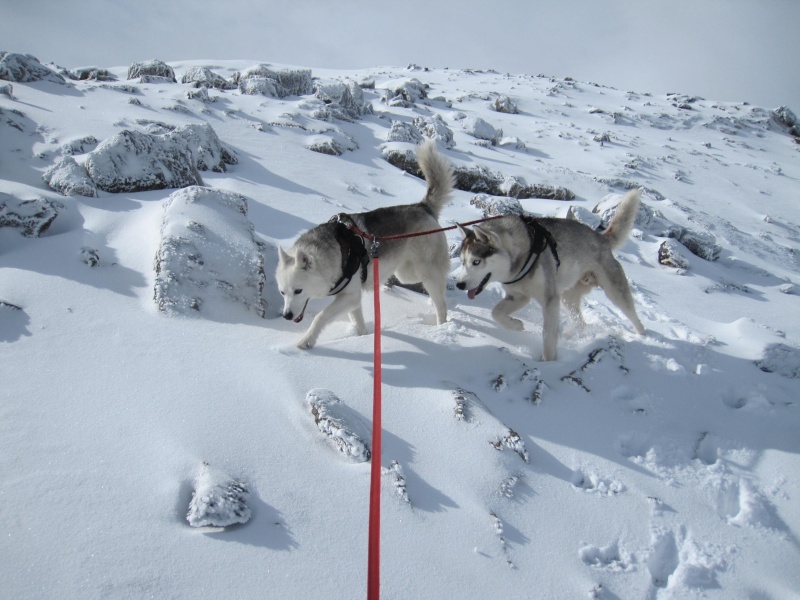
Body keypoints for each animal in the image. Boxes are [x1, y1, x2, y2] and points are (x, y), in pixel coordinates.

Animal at [276, 139, 454, 346]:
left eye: (298, 291)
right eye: (282, 292)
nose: (287, 316)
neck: (334, 254)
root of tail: (422, 207)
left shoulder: (349, 297)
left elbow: (320, 316)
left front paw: (307, 340)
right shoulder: (351, 298)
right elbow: (358, 321)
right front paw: (362, 337)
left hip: (425, 272)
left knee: (441, 302)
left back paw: (441, 327)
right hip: (406, 273)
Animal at [456, 191, 644, 360]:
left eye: (476, 262)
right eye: (462, 261)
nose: (459, 285)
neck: (522, 255)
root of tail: (600, 237)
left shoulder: (549, 300)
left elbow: (547, 333)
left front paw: (548, 361)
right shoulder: (518, 296)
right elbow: (496, 313)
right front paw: (516, 325)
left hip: (614, 292)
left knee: (633, 315)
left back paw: (641, 335)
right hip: (567, 296)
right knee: (580, 322)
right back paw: (569, 335)